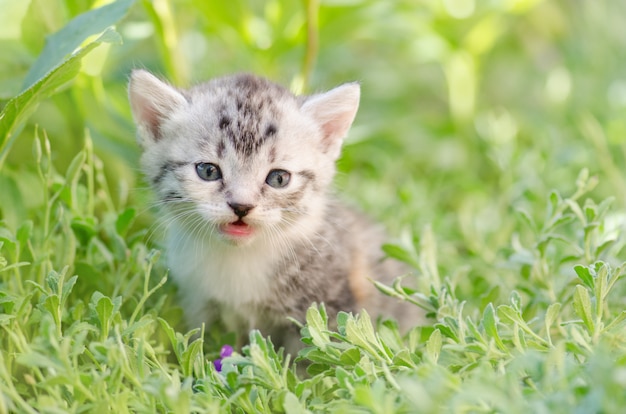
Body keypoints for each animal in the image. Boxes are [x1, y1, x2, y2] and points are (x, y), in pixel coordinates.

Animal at [127, 68, 420, 352]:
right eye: (208, 171)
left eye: (278, 178)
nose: (241, 206)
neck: (239, 259)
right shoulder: (199, 303)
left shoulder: (331, 306)